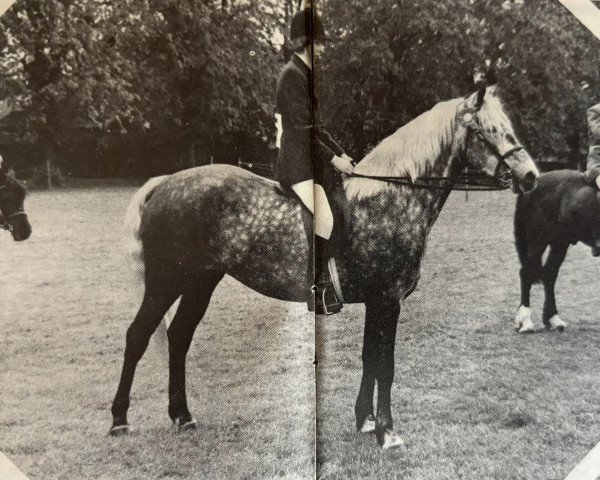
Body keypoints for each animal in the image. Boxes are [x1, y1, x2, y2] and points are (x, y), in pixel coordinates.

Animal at [109, 86, 540, 450]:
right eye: (490, 130)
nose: (531, 176)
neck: (394, 196)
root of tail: (166, 183)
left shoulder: (376, 302)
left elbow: (370, 359)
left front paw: (366, 422)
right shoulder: (389, 300)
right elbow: (386, 365)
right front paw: (388, 433)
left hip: (200, 282)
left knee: (179, 336)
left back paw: (182, 416)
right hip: (165, 283)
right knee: (138, 336)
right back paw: (119, 421)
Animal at [512, 170, 600, 334]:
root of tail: (531, 185)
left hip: (560, 242)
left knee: (549, 274)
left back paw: (553, 319)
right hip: (539, 239)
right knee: (527, 273)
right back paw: (526, 321)